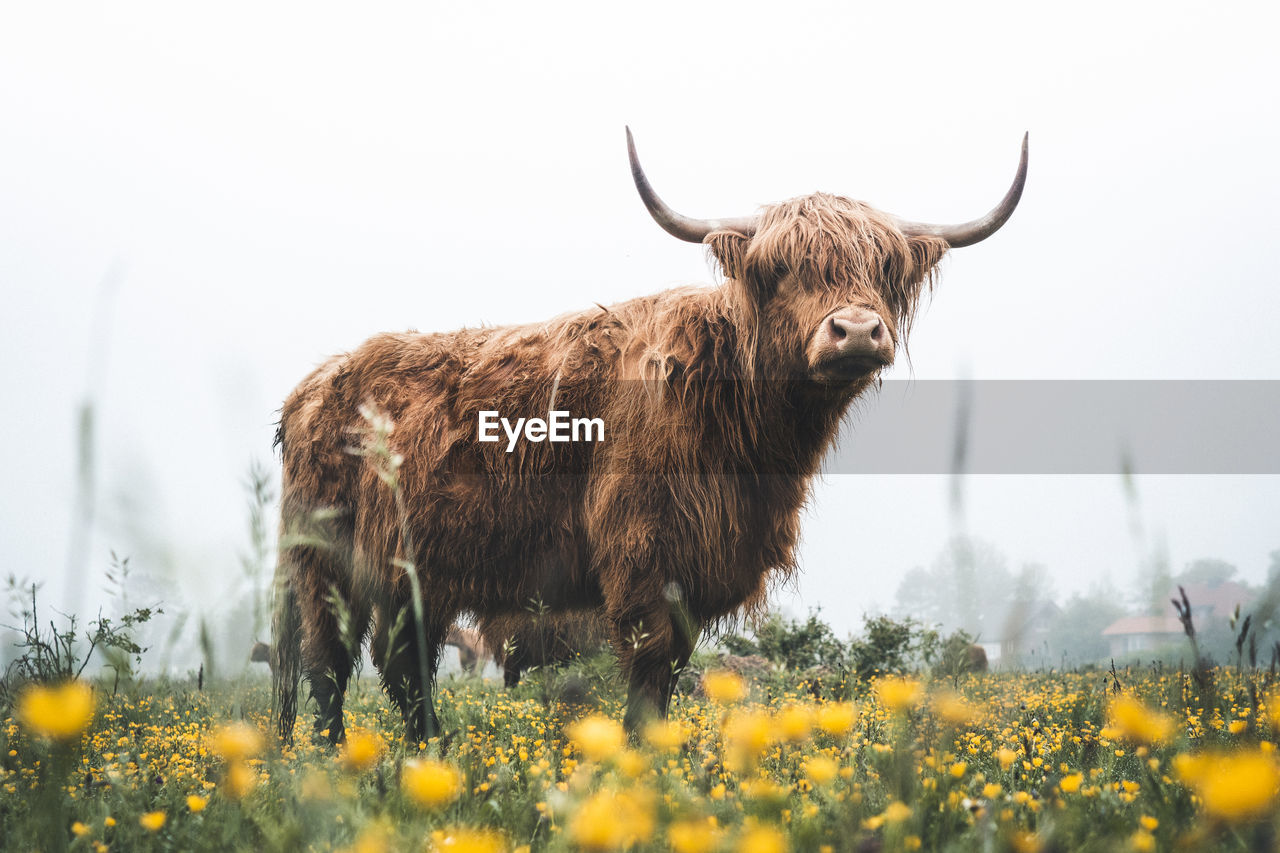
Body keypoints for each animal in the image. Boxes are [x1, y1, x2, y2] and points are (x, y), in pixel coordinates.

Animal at [272, 122, 1029, 742]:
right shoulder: (642, 557)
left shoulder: (698, 571)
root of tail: (316, 381)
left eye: (884, 270)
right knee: (329, 668)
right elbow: (644, 679)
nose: (857, 331)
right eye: (781, 269)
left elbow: (667, 683)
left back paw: (428, 754)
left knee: (401, 665)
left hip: (415, 573)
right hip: (327, 566)